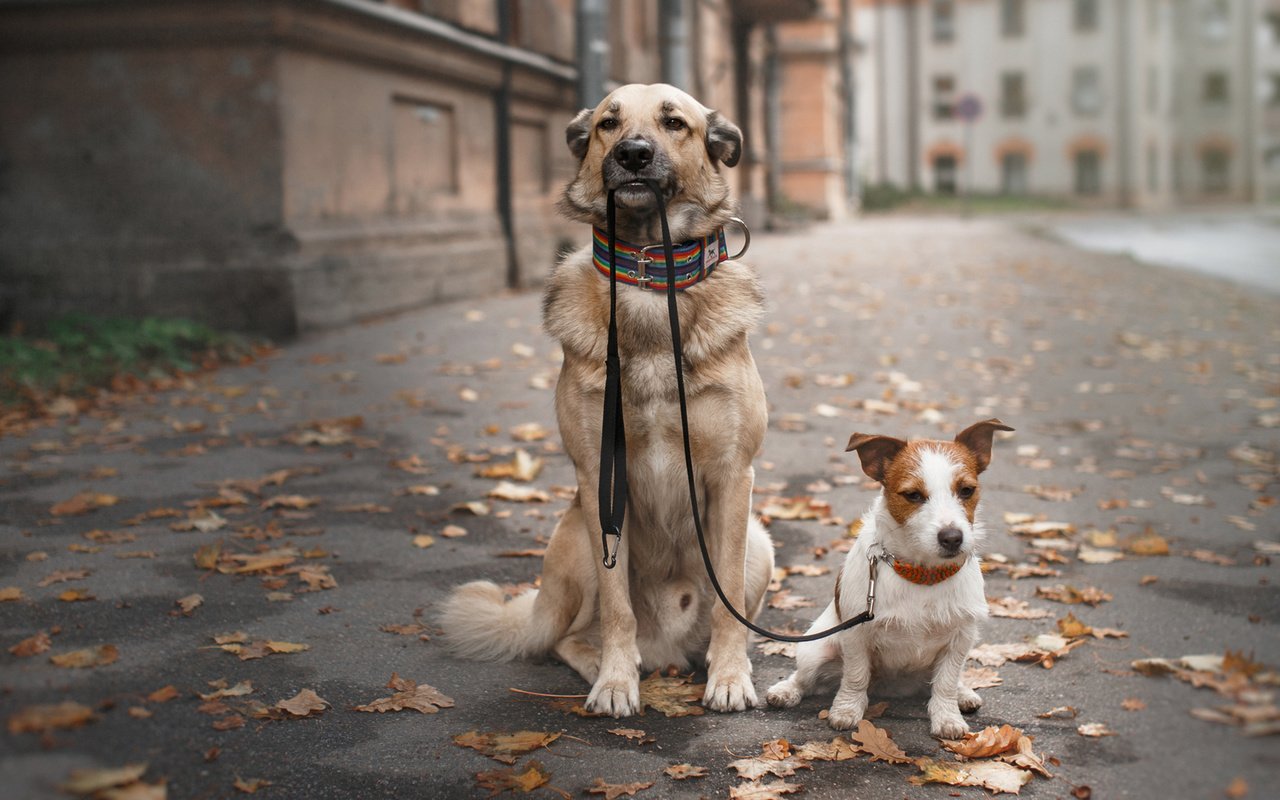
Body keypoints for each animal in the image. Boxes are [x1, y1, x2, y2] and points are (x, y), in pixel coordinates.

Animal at [440, 84, 773, 716]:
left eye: (674, 122)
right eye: (607, 124)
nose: (633, 154)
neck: (649, 276)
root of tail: (667, 648)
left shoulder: (732, 478)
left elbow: (729, 605)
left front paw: (730, 676)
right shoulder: (600, 476)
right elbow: (618, 608)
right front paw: (617, 681)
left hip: (758, 544)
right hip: (575, 535)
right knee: (568, 636)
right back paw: (605, 663)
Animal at [762, 417, 1013, 737]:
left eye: (967, 490)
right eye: (913, 495)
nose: (952, 538)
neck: (922, 574)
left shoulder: (961, 638)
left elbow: (945, 683)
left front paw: (948, 717)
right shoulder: (856, 635)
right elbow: (855, 676)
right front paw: (846, 710)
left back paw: (963, 692)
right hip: (816, 649)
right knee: (804, 677)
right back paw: (786, 690)